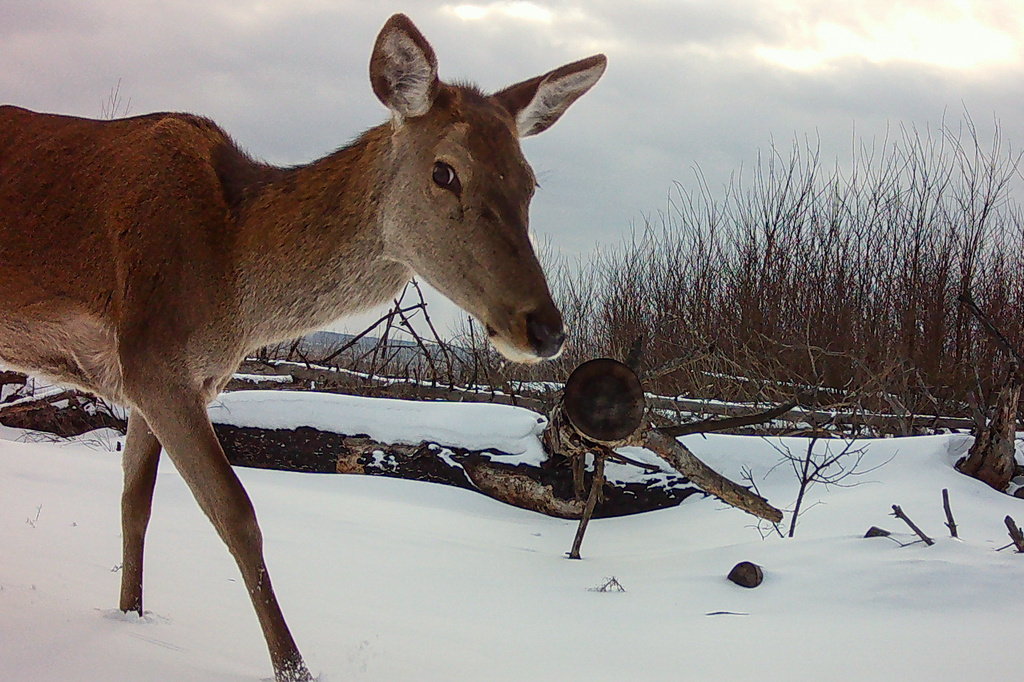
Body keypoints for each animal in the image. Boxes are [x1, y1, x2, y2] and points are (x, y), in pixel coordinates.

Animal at [0, 13, 606, 682]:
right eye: (445, 171)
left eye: (530, 183)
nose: (546, 328)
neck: (229, 288)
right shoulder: (154, 361)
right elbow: (236, 514)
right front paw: (294, 666)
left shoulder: (159, 379)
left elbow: (136, 504)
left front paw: (130, 614)